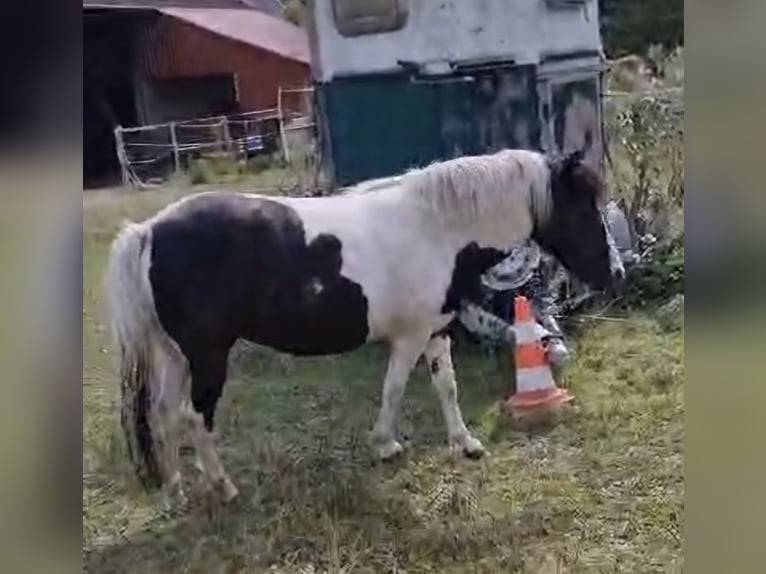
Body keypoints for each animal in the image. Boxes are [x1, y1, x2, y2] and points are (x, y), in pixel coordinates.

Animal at [105, 147, 628, 504]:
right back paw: (223, 487)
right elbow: (393, 388)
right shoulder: (410, 337)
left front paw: (465, 444)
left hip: (174, 355)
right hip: (207, 355)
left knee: (164, 416)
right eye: (583, 206)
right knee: (195, 418)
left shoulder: (435, 332)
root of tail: (149, 231)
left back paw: (176, 490)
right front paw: (386, 445)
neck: (437, 228)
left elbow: (447, 388)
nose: (617, 272)